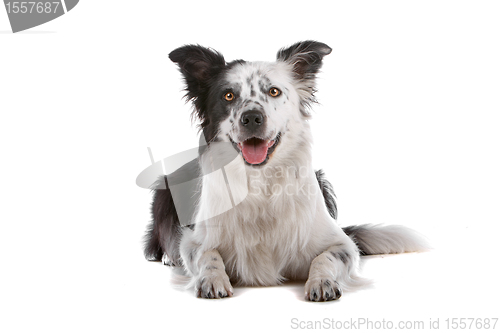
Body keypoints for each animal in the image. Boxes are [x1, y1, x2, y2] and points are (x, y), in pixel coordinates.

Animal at [143, 40, 428, 300]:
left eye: (274, 91)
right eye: (228, 96)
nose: (252, 118)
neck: (260, 183)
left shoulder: (340, 243)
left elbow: (326, 257)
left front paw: (322, 281)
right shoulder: (195, 240)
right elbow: (206, 254)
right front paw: (212, 278)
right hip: (164, 190)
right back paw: (168, 257)